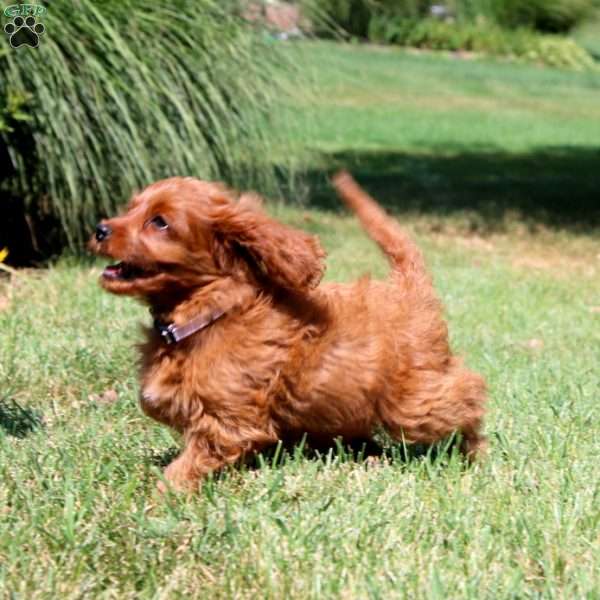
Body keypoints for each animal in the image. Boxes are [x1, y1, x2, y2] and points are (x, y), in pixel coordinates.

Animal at [92, 171, 488, 490]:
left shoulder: (228, 421)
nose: (99, 229)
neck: (211, 310)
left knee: (468, 391)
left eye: (159, 222)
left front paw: (160, 498)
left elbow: (187, 463)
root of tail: (408, 286)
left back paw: (475, 450)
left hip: (414, 401)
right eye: (130, 209)